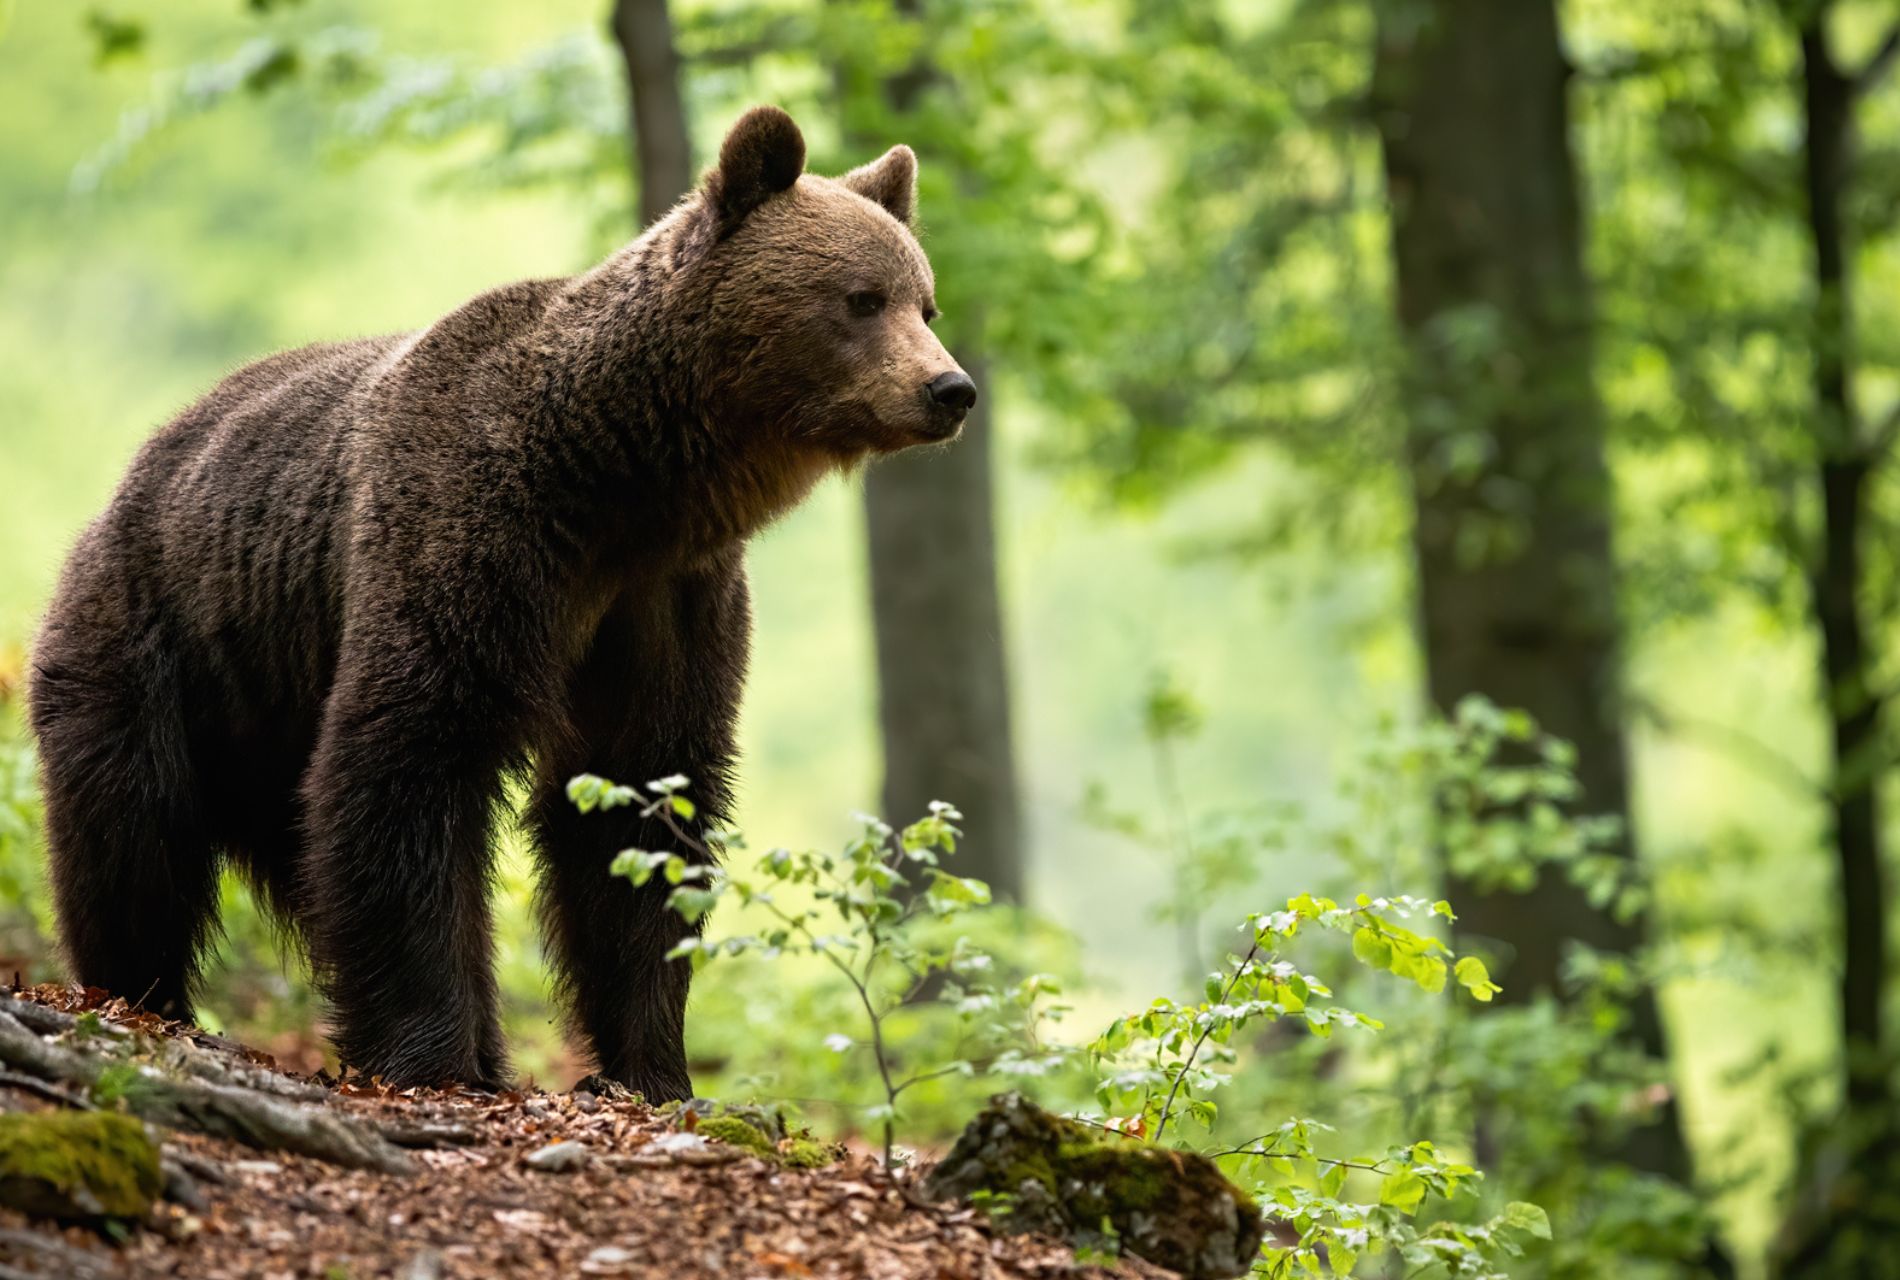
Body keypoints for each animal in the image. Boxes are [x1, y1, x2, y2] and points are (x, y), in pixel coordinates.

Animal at [26, 107, 980, 1093]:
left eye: (926, 302)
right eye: (862, 298)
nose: (950, 388)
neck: (624, 481)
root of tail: (132, 475)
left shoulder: (666, 600)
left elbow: (640, 804)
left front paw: (653, 1068)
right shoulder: (474, 539)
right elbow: (410, 760)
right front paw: (435, 1055)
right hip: (156, 636)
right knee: (133, 831)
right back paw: (142, 993)